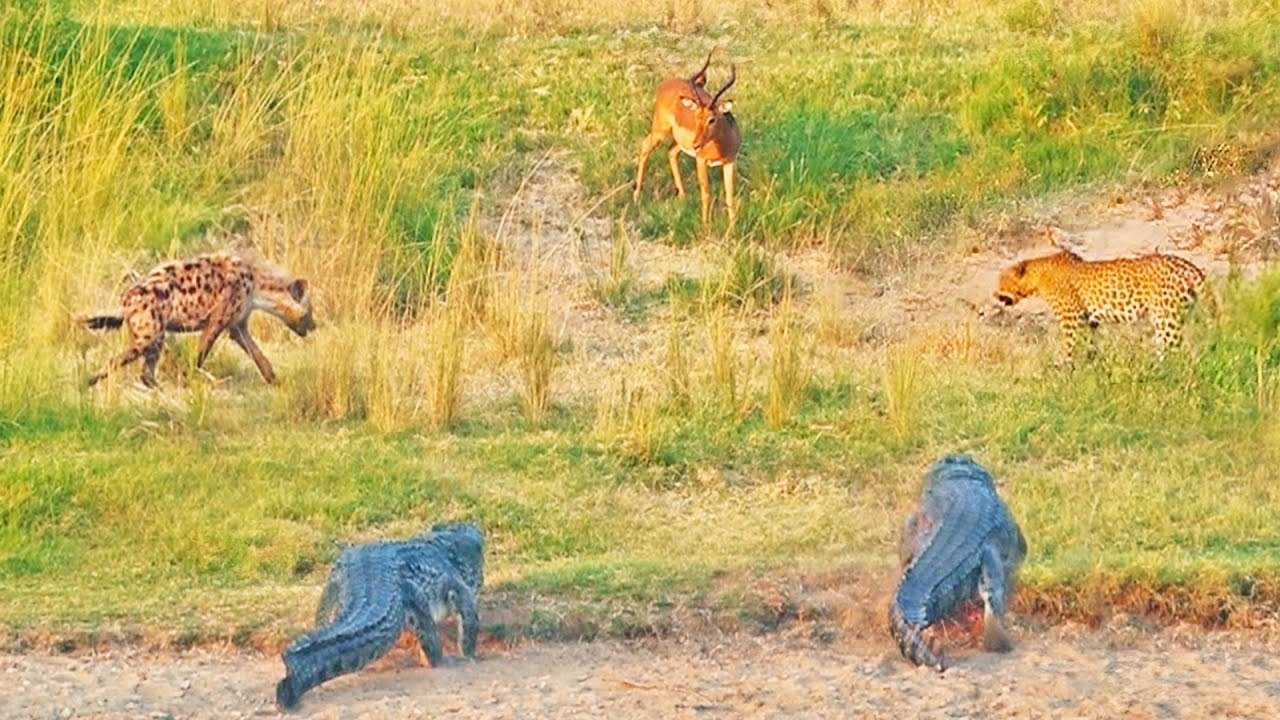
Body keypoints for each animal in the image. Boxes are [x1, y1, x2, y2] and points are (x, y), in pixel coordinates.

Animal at [85, 251, 314, 386]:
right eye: (310, 312)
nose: (315, 326)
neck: (257, 286)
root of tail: (125, 300)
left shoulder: (238, 324)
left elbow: (257, 353)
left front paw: (274, 379)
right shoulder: (218, 319)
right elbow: (201, 354)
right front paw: (192, 380)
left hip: (156, 335)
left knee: (146, 372)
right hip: (149, 333)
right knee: (117, 361)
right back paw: (88, 381)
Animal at [993, 249, 1203, 358]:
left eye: (1001, 281)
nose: (994, 294)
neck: (1038, 277)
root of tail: (1191, 268)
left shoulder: (1071, 319)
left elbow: (1069, 345)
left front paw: (1065, 368)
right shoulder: (1088, 320)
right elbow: (1089, 344)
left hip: (1166, 317)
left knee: (1174, 346)